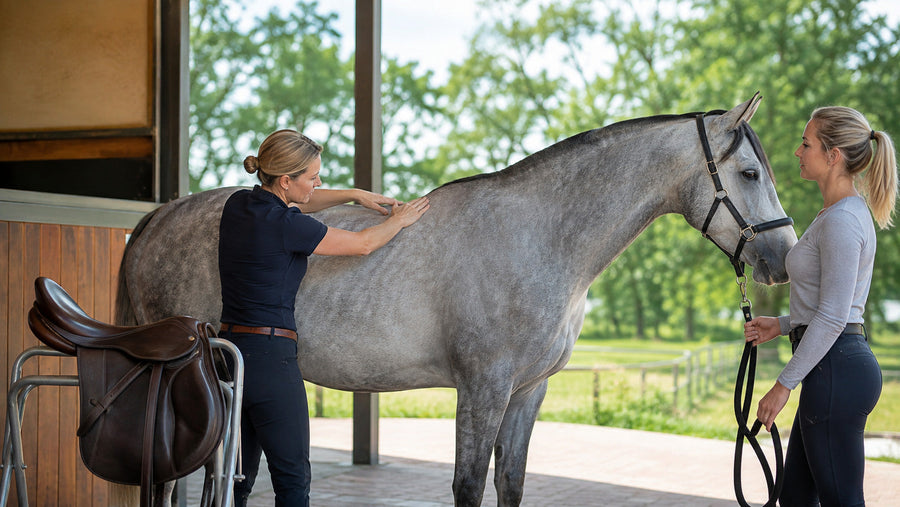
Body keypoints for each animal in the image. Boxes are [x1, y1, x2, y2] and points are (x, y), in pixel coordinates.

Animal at [113, 94, 796, 506]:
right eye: (750, 174)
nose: (782, 257)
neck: (540, 235)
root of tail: (156, 218)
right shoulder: (483, 387)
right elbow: (468, 486)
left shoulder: (527, 391)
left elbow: (510, 483)